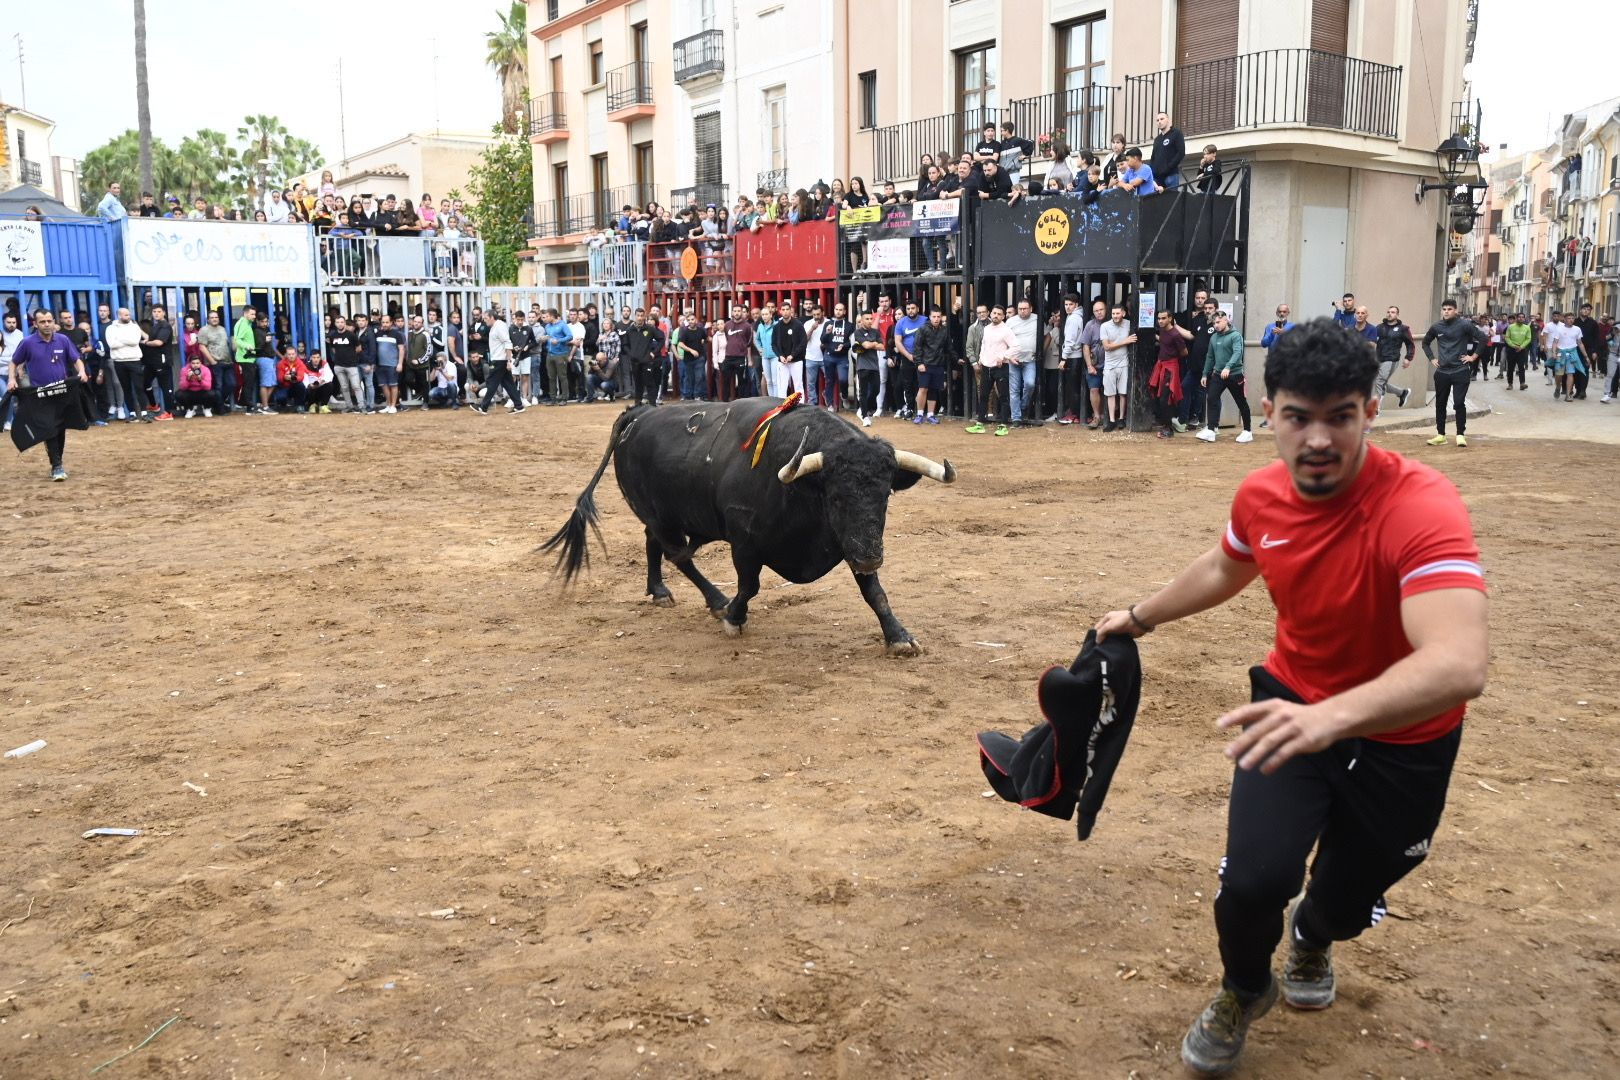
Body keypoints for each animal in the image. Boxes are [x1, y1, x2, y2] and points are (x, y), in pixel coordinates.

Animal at [544, 401, 952, 654]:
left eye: (885, 496)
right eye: (835, 497)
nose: (870, 557)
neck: (800, 489)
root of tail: (640, 413)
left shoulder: (848, 542)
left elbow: (875, 593)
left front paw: (899, 637)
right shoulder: (745, 544)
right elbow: (749, 586)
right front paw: (733, 617)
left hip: (665, 516)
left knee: (654, 544)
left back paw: (659, 591)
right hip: (659, 515)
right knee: (678, 555)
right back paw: (715, 600)